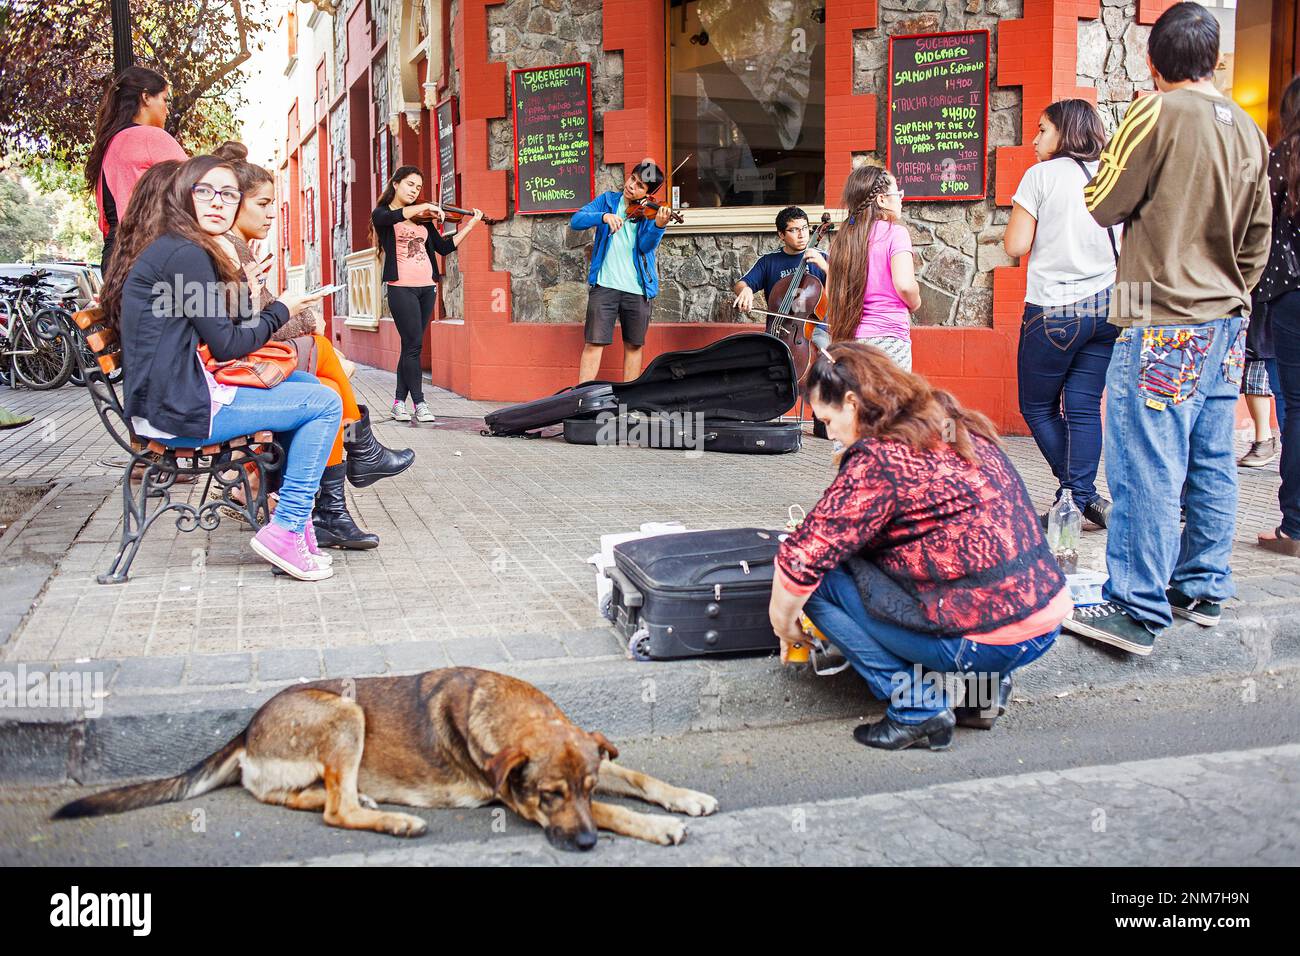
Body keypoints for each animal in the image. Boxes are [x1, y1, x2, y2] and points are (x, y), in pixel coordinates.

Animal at [53, 671, 722, 848]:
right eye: (549, 797)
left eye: (580, 788)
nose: (582, 846)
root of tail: (247, 727)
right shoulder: (514, 799)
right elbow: (616, 810)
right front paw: (658, 827)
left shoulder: (596, 763)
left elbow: (634, 775)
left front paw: (684, 797)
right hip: (346, 714)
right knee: (336, 811)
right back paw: (395, 820)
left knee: (305, 797)